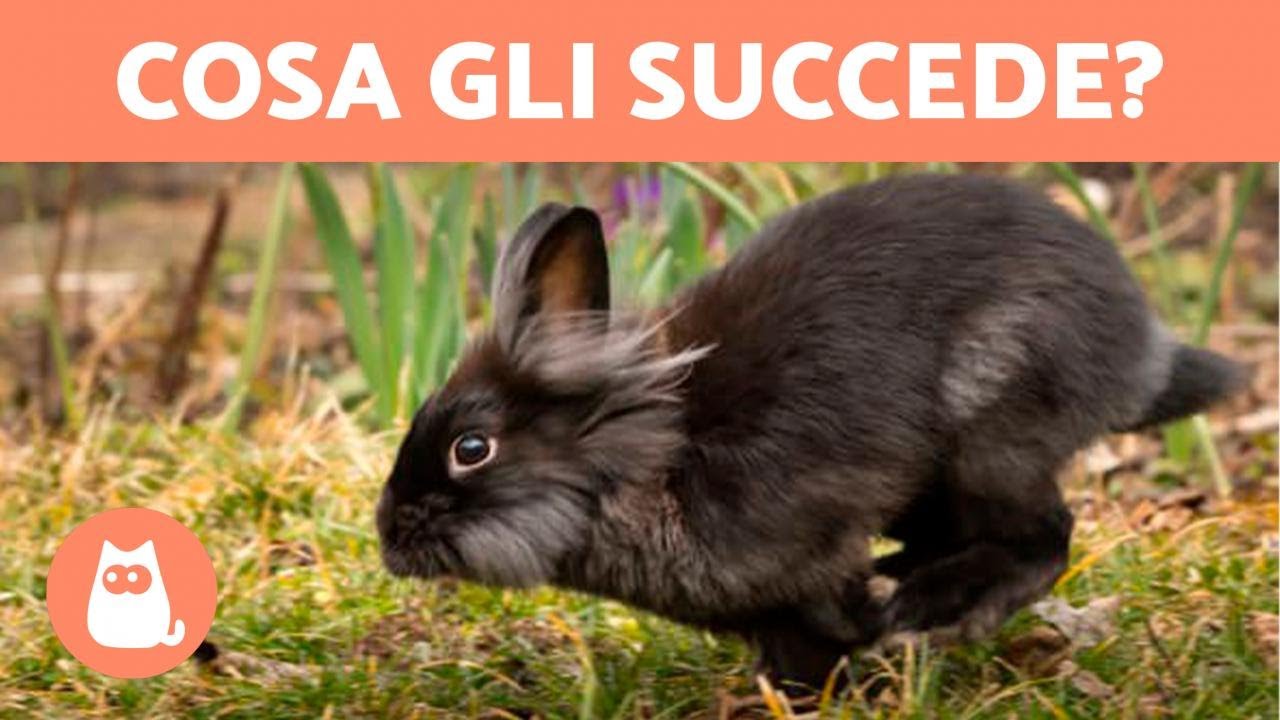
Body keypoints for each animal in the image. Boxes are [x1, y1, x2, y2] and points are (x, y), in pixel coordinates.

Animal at [376, 173, 1246, 689]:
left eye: (471, 449)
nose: (389, 540)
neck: (639, 461)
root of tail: (1141, 352)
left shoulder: (805, 558)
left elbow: (825, 628)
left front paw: (851, 656)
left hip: (993, 436)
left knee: (1045, 537)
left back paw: (924, 612)